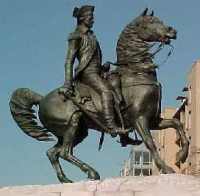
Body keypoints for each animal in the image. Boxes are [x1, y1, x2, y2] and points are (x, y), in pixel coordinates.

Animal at [9, 8, 189, 183]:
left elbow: (177, 124)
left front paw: (182, 154)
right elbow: (150, 143)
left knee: (53, 153)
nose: (172, 31)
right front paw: (166, 168)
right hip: (72, 123)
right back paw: (92, 173)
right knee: (65, 152)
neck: (137, 73)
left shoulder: (153, 120)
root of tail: (42, 99)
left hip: (77, 131)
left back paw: (66, 179)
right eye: (151, 22)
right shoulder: (140, 119)